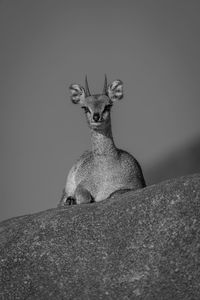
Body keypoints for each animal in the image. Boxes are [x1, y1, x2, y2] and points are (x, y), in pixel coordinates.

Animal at [57, 75, 145, 206]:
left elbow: (115, 194)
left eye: (108, 105)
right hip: (68, 186)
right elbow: (84, 197)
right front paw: (74, 200)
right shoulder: (81, 186)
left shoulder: (137, 185)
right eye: (85, 108)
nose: (96, 116)